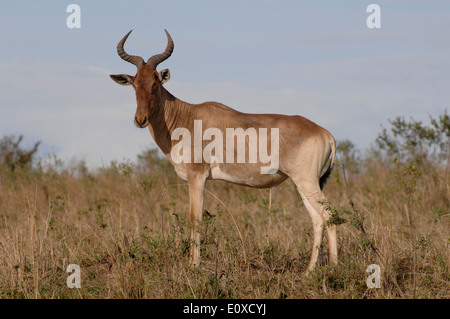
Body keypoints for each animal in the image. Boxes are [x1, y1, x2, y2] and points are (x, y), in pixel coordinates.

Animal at [110, 29, 338, 272]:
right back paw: (309, 271)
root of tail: (325, 133)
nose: (140, 120)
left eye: (155, 84)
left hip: (307, 181)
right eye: (135, 84)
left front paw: (193, 265)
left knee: (328, 214)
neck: (187, 117)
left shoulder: (197, 177)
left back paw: (334, 267)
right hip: (302, 183)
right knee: (317, 219)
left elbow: (195, 217)